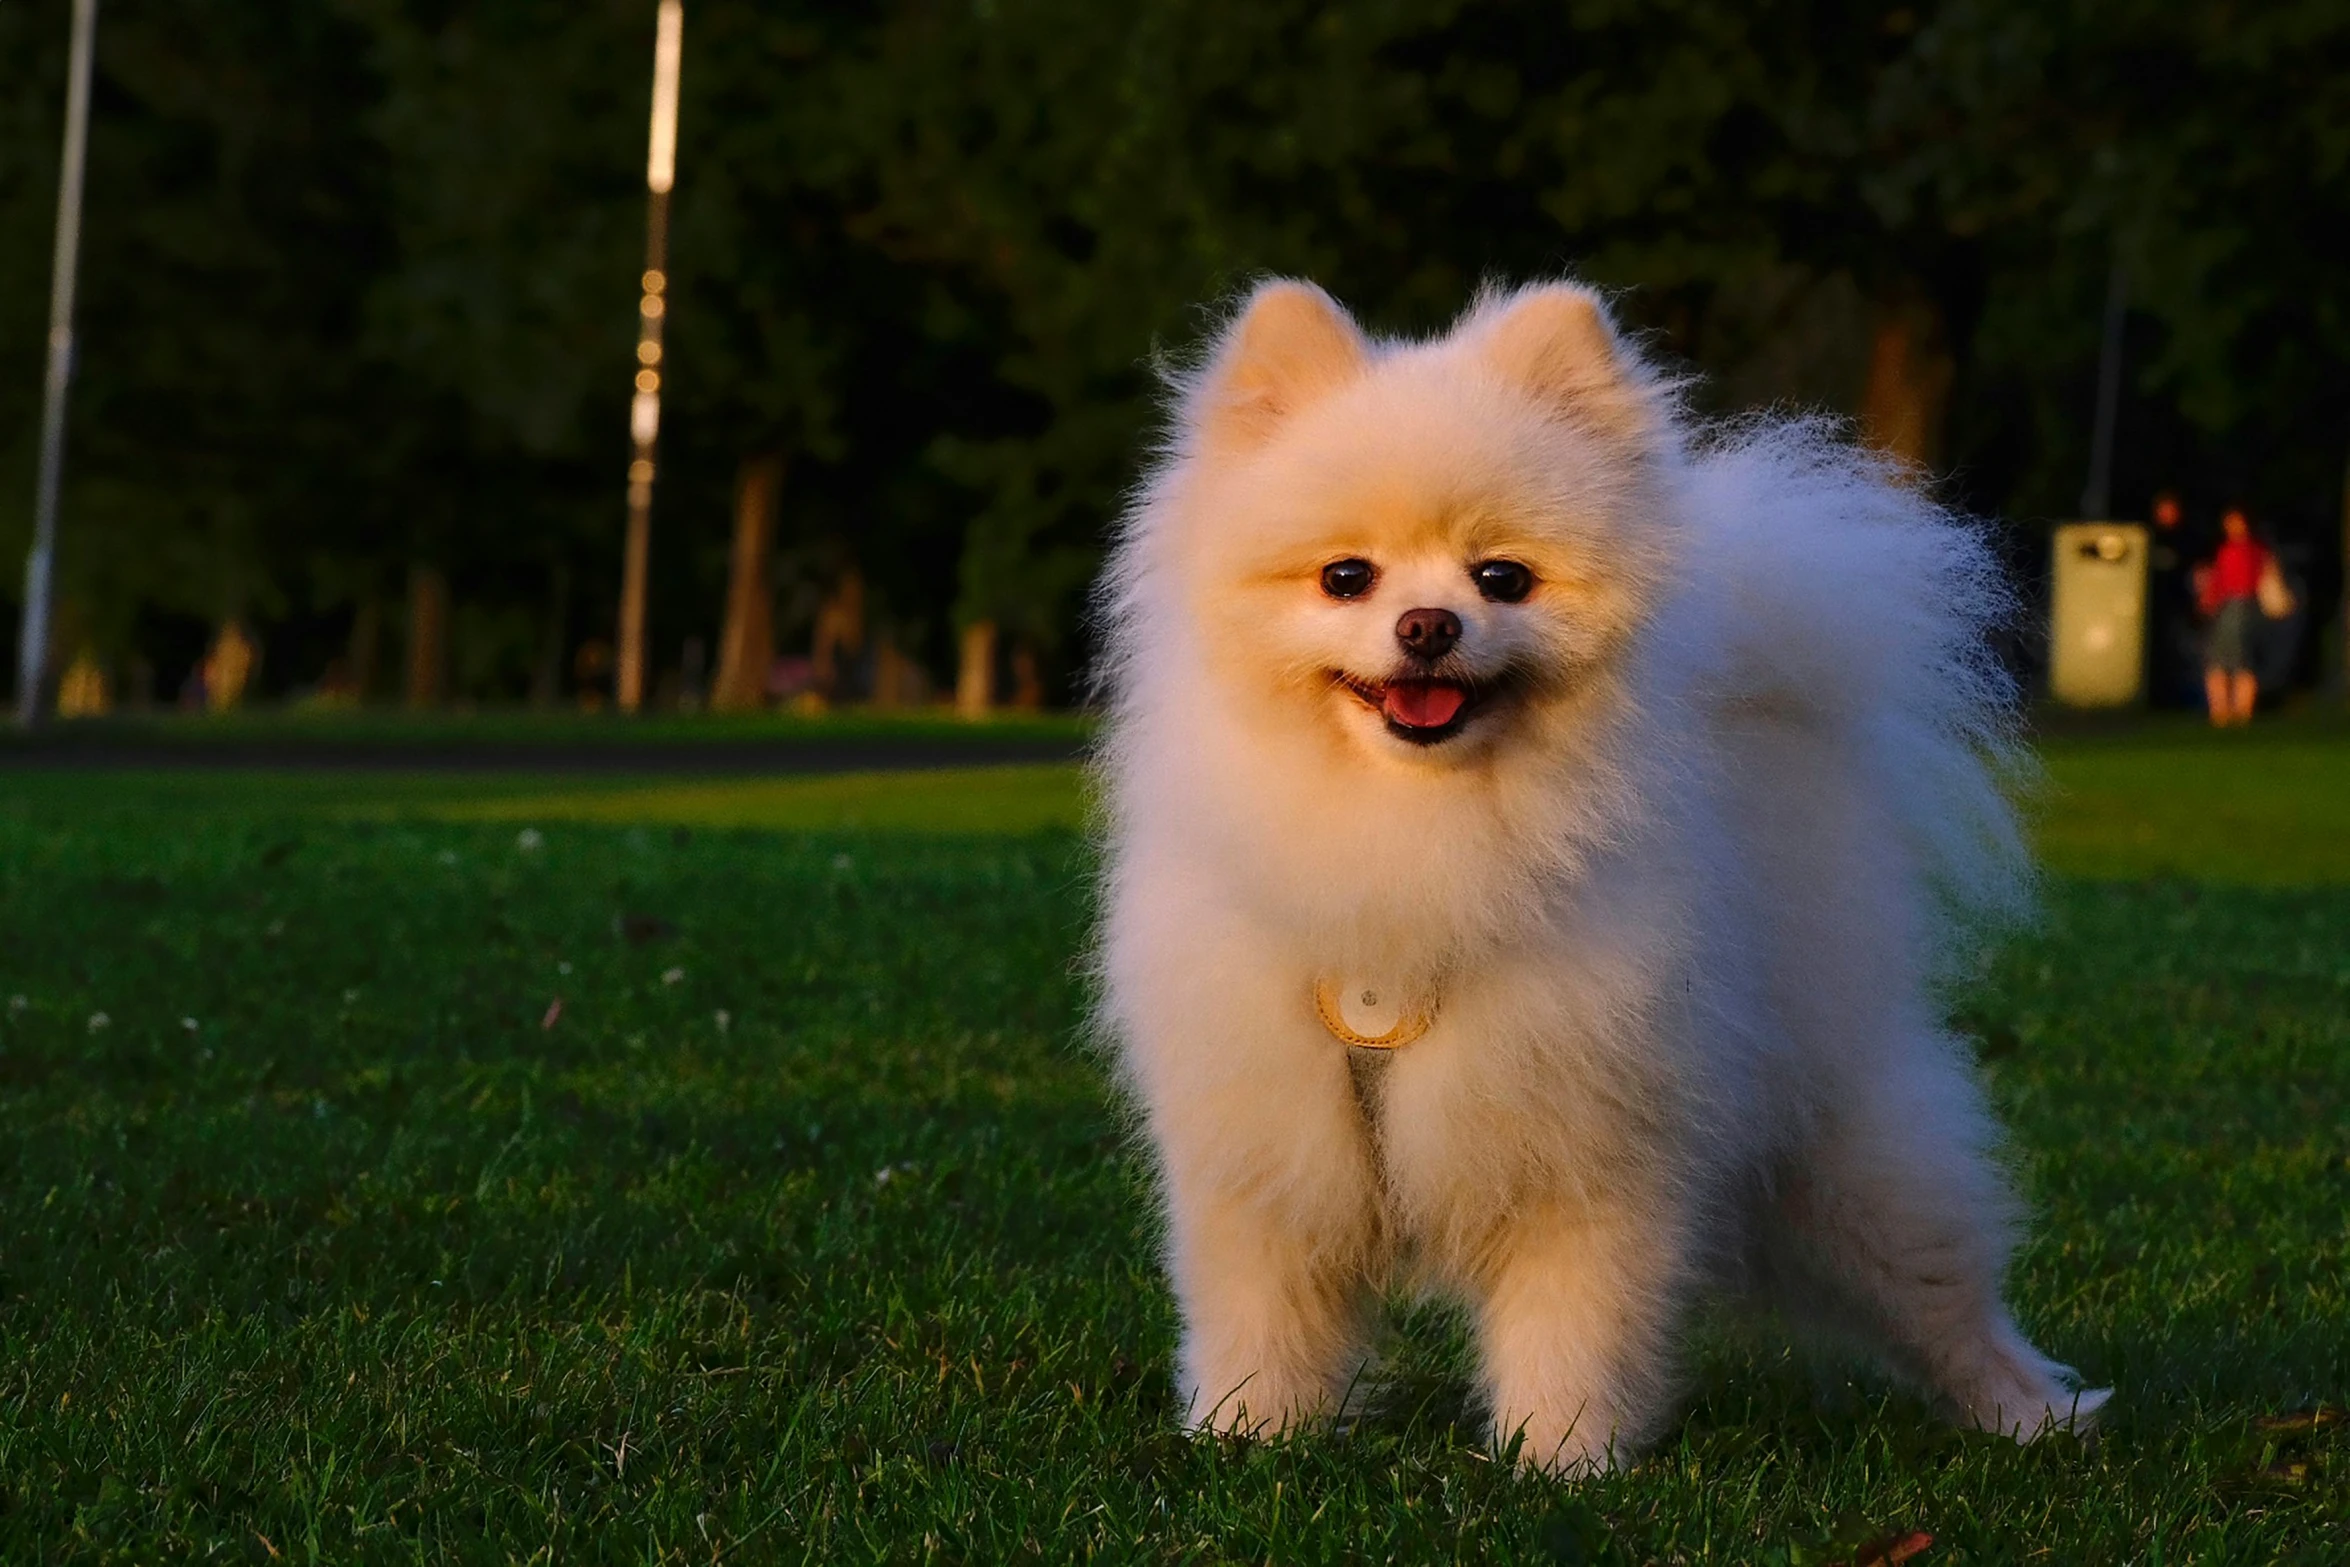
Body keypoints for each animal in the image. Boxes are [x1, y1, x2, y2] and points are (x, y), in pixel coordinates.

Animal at [1090, 278, 2105, 1475]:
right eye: (1347, 576)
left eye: (1502, 577)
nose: (1427, 625)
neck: (1415, 830)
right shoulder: (1262, 1142)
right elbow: (1263, 1312)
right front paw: (1251, 1437)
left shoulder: (1587, 1145)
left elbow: (1573, 1320)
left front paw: (1561, 1459)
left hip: (1847, 1149)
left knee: (1949, 1293)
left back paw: (2031, 1413)